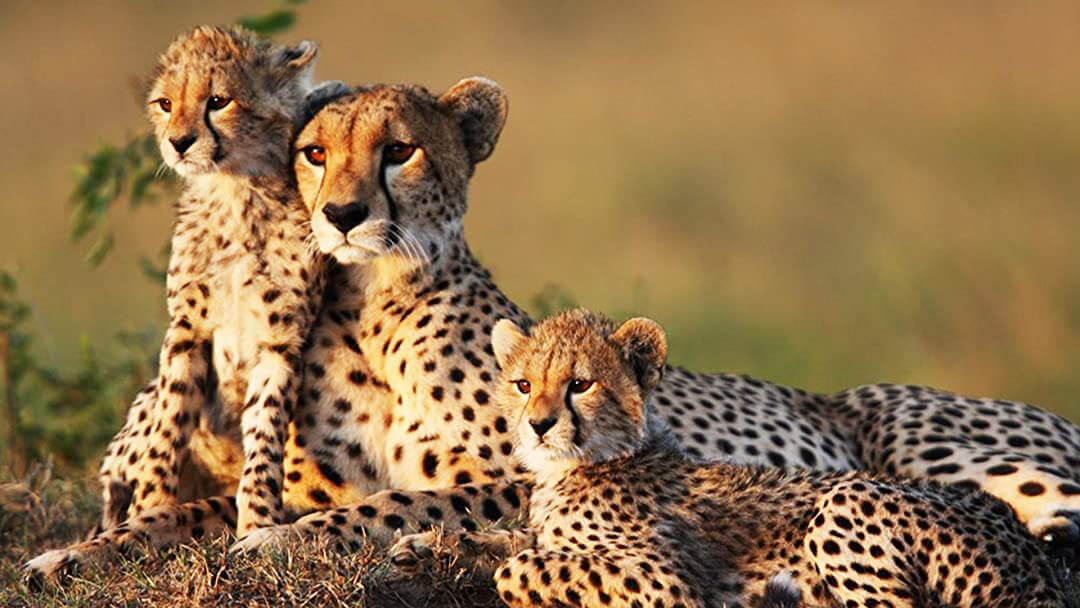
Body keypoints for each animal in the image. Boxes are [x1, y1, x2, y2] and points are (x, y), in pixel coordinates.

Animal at [391, 309, 1068, 608]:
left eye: (580, 384)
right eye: (524, 383)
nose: (537, 425)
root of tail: (1020, 540)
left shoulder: (665, 581)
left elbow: (522, 566)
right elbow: (512, 540)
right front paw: (429, 547)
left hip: (846, 504)